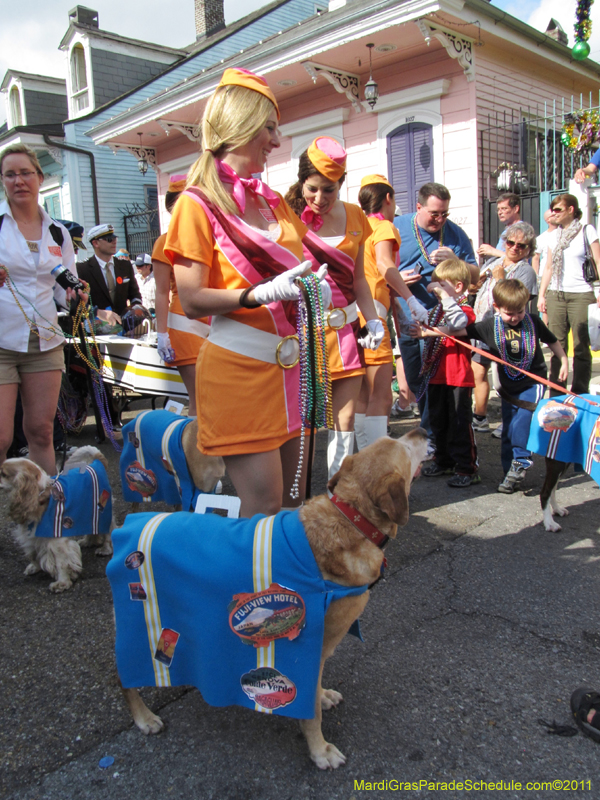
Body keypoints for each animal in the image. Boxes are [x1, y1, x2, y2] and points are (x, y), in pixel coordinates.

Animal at [0, 444, 114, 592]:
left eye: (3, 474)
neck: (39, 496)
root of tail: (95, 461)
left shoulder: (57, 542)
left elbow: (61, 563)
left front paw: (62, 583)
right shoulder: (32, 536)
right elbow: (33, 554)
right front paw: (34, 568)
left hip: (103, 511)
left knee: (109, 530)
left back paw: (106, 549)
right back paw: (88, 541)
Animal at [112, 432, 428, 768]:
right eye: (402, 446)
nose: (420, 432)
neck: (351, 521)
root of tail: (127, 527)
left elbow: (314, 690)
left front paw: (322, 697)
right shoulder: (309, 649)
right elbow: (310, 712)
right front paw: (319, 749)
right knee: (125, 679)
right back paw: (144, 717)